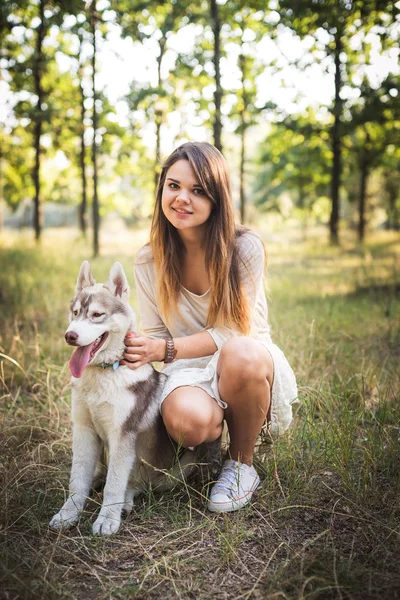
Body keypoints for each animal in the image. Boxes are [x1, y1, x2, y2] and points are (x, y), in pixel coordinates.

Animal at [50, 260, 198, 536]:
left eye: (97, 315)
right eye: (75, 313)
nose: (70, 336)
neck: (103, 374)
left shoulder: (123, 436)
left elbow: (114, 484)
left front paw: (107, 518)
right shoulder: (83, 430)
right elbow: (77, 480)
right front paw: (68, 514)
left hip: (182, 465)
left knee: (137, 484)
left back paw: (125, 502)